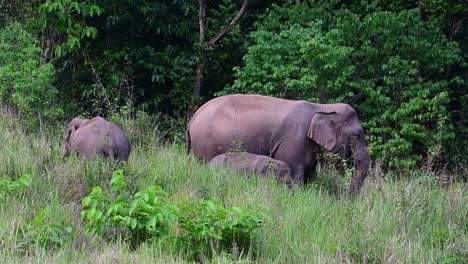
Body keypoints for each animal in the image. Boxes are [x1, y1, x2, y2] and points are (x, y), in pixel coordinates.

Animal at [185, 94, 372, 194]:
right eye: (357, 135)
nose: (345, 201)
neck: (322, 107)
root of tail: (193, 118)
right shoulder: (293, 141)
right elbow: (297, 175)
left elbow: (310, 176)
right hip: (206, 144)